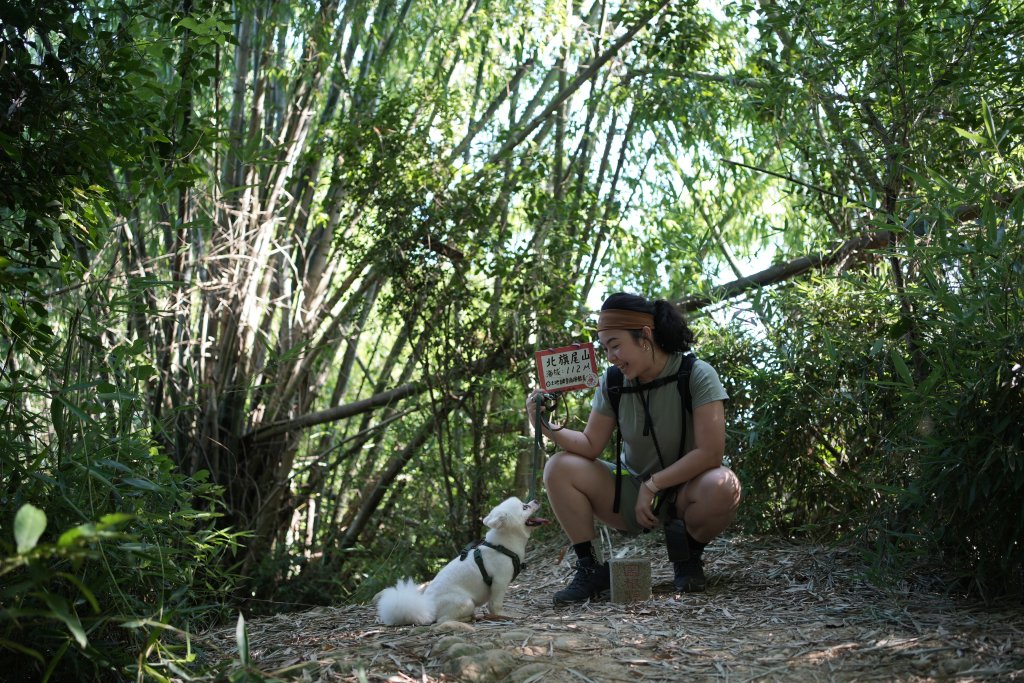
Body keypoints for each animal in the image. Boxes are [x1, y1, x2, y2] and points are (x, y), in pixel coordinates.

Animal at [376, 497, 548, 626]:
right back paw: (469, 618)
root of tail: (428, 607)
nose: (536, 500)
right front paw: (504, 615)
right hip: (466, 602)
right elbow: (495, 605)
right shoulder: (500, 582)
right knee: (443, 620)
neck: (503, 545)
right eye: (525, 507)